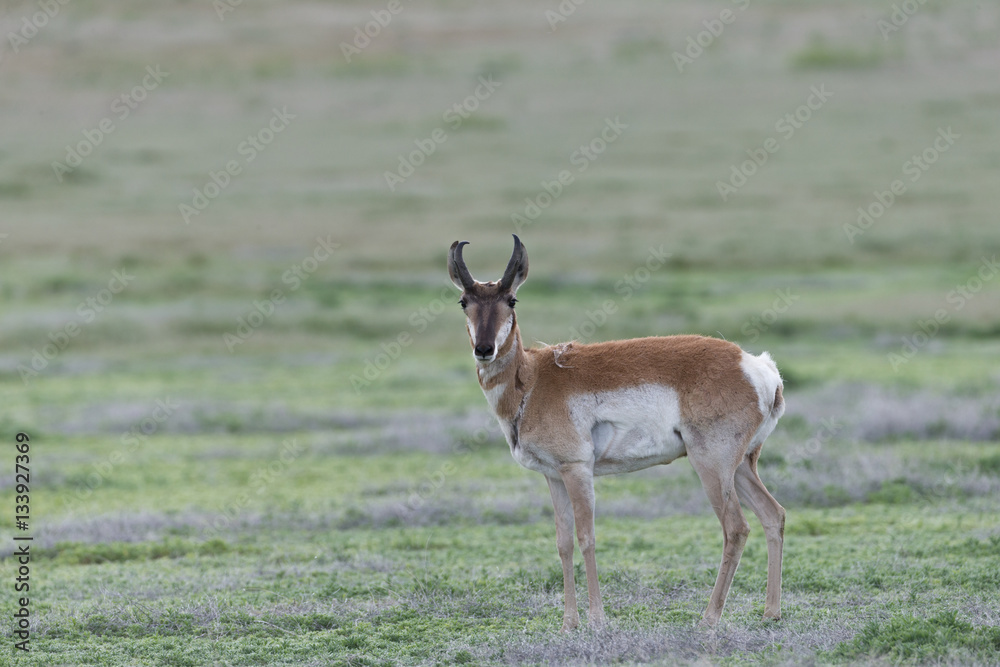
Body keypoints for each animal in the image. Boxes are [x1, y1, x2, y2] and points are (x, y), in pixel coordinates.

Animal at [448, 235, 786, 631]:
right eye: (464, 301)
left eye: (511, 300)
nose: (484, 349)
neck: (533, 379)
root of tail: (756, 365)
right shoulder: (554, 477)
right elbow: (563, 542)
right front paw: (569, 622)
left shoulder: (577, 470)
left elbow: (586, 537)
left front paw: (596, 618)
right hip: (742, 467)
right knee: (773, 515)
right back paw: (771, 612)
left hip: (712, 467)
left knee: (736, 528)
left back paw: (709, 617)